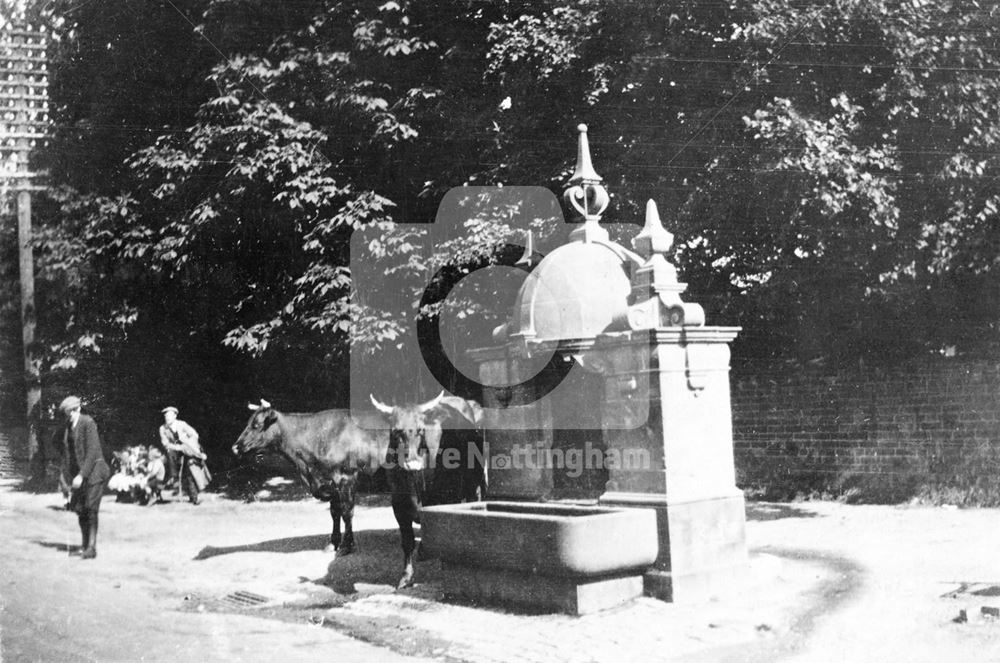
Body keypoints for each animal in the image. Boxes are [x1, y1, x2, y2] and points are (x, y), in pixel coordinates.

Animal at [234, 394, 484, 588]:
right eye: (249, 422)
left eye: (256, 425)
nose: (235, 446)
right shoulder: (331, 481)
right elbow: (334, 513)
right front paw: (333, 542)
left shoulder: (346, 478)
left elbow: (347, 512)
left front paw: (347, 545)